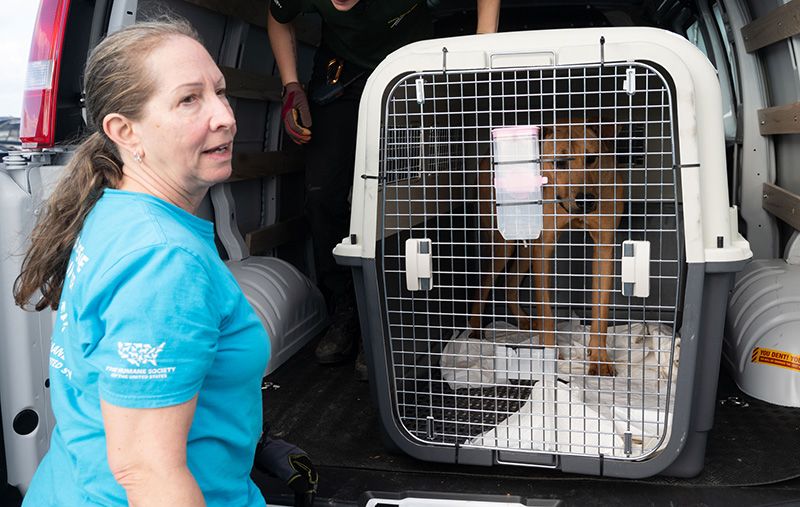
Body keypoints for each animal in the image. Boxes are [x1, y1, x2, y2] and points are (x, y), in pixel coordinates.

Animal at [468, 122, 624, 378]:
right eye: (559, 162)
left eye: (592, 158)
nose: (586, 200)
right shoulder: (544, 248)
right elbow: (547, 311)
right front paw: (549, 354)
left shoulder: (604, 248)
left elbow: (600, 313)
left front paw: (599, 358)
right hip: (503, 241)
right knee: (484, 282)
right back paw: (474, 332)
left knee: (510, 281)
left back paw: (523, 321)